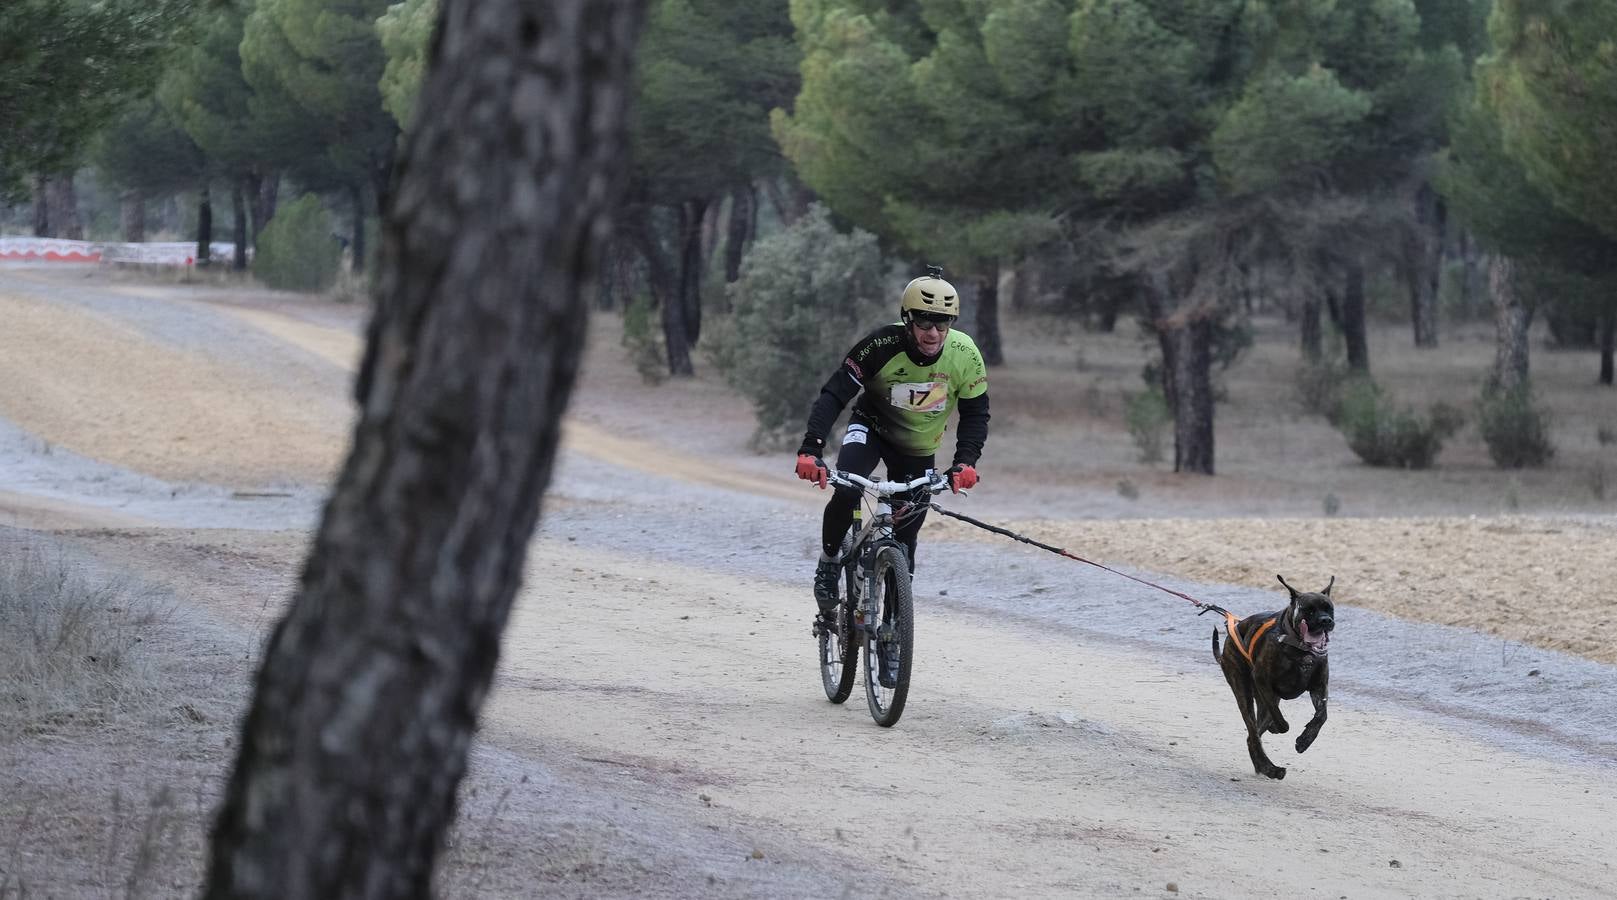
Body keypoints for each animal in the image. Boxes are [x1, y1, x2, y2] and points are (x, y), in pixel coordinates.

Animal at [1215, 575, 1338, 778]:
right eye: (1309, 610)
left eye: (1329, 609)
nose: (1326, 620)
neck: (1301, 651)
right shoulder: (1262, 680)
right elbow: (1277, 713)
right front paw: (1280, 727)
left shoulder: (1319, 688)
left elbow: (1322, 715)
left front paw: (1305, 740)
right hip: (1243, 691)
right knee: (1253, 734)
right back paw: (1270, 768)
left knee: (1253, 735)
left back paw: (1264, 767)